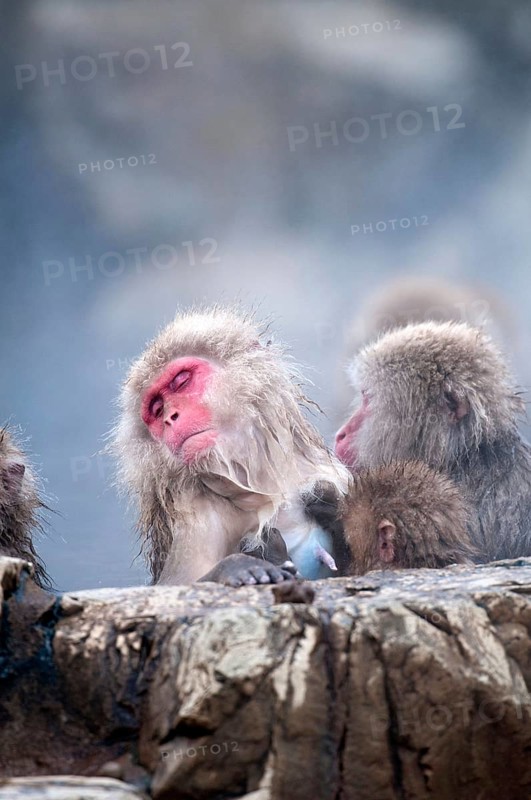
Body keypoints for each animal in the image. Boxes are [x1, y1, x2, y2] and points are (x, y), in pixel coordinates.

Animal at [112, 306, 349, 586]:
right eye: (157, 409)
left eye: (181, 381)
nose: (170, 418)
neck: (260, 484)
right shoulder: (198, 515)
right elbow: (172, 584)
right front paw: (239, 567)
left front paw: (328, 503)